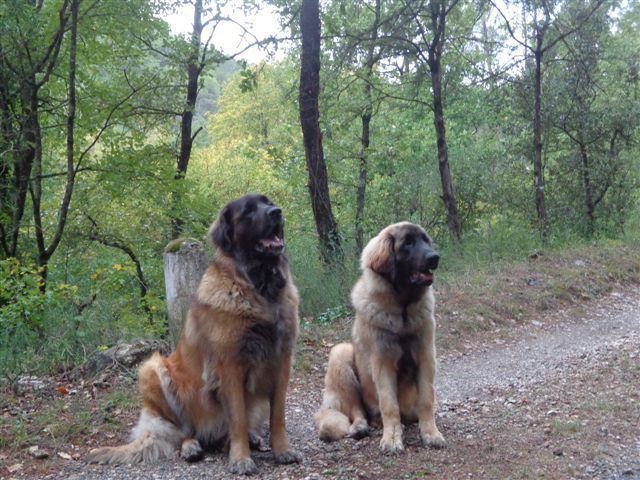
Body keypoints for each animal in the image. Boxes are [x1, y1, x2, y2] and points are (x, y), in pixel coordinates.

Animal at [85, 193, 302, 474]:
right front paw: (240, 459)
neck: (259, 288)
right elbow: (238, 419)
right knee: (183, 430)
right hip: (152, 369)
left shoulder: (282, 360)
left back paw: (251, 438)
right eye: (248, 211)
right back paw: (192, 447)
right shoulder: (230, 367)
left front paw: (282, 450)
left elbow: (278, 415)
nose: (277, 212)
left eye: (268, 202)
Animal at [316, 222, 444, 454]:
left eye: (425, 240)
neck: (402, 310)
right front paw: (392, 439)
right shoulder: (382, 363)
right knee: (357, 409)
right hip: (341, 353)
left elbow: (426, 399)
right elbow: (389, 405)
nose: (434, 257)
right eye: (407, 243)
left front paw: (431, 433)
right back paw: (361, 427)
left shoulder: (426, 357)